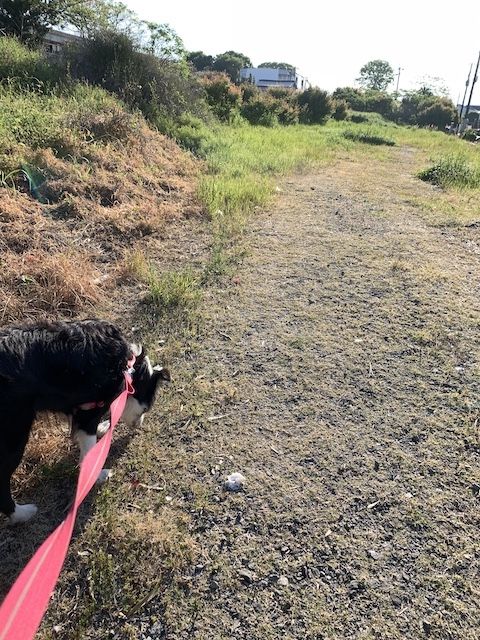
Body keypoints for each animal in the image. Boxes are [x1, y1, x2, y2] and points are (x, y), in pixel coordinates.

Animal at [0, 319, 170, 524]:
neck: (128, 370)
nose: (139, 426)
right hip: (13, 435)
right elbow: (90, 449)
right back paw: (21, 513)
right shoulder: (88, 413)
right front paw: (97, 474)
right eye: (145, 409)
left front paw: (103, 428)